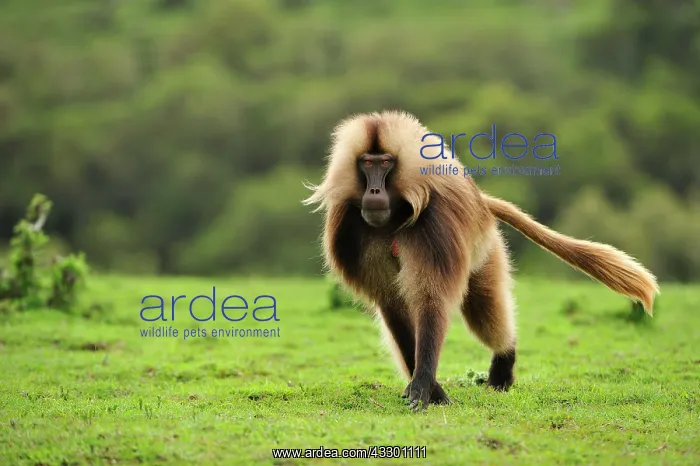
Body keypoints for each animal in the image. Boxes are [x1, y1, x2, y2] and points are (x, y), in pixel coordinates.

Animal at [302, 110, 659, 412]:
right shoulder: (357, 230)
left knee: (482, 305)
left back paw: (503, 364)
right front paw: (430, 388)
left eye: (385, 163)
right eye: (366, 163)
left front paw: (424, 385)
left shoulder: (435, 225)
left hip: (486, 250)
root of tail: (481, 202)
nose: (374, 191)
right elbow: (392, 304)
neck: (397, 214)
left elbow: (431, 299)